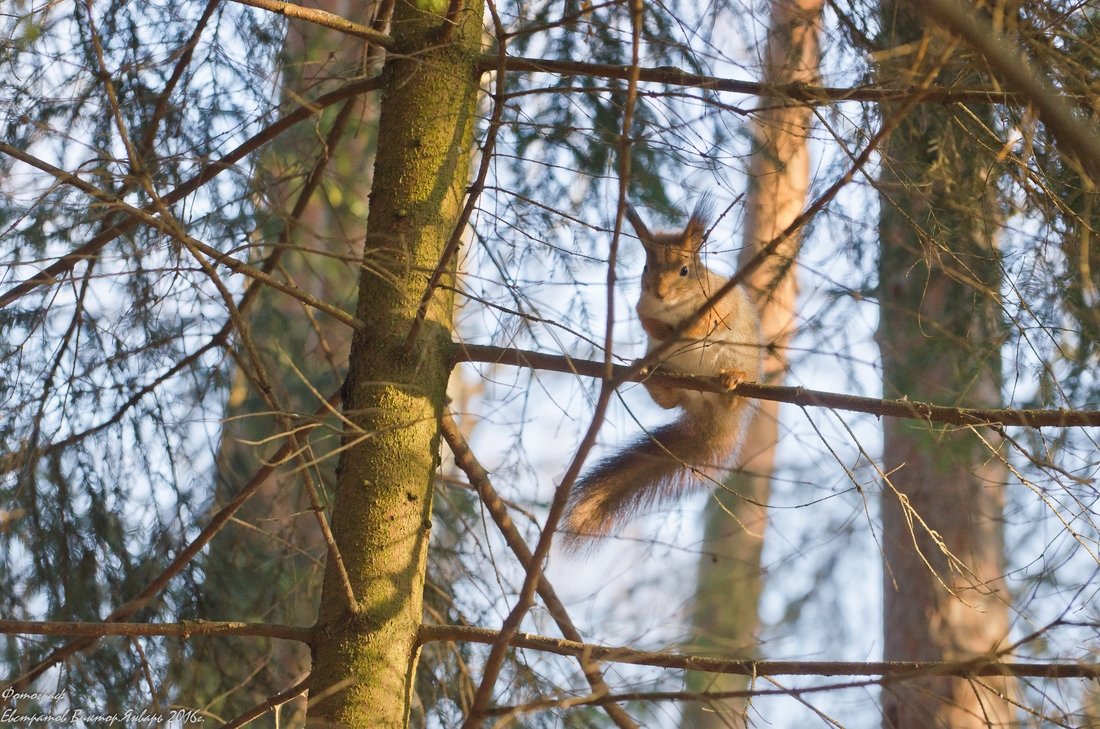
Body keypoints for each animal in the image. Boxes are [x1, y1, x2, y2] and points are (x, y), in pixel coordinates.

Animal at [563, 202, 761, 549]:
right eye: (645, 267)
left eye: (685, 270)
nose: (659, 292)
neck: (675, 308)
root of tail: (711, 414)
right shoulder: (643, 306)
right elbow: (645, 318)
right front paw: (660, 329)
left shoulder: (723, 298)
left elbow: (719, 316)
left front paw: (695, 327)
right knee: (669, 402)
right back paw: (653, 376)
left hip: (741, 365)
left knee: (733, 396)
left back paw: (732, 380)